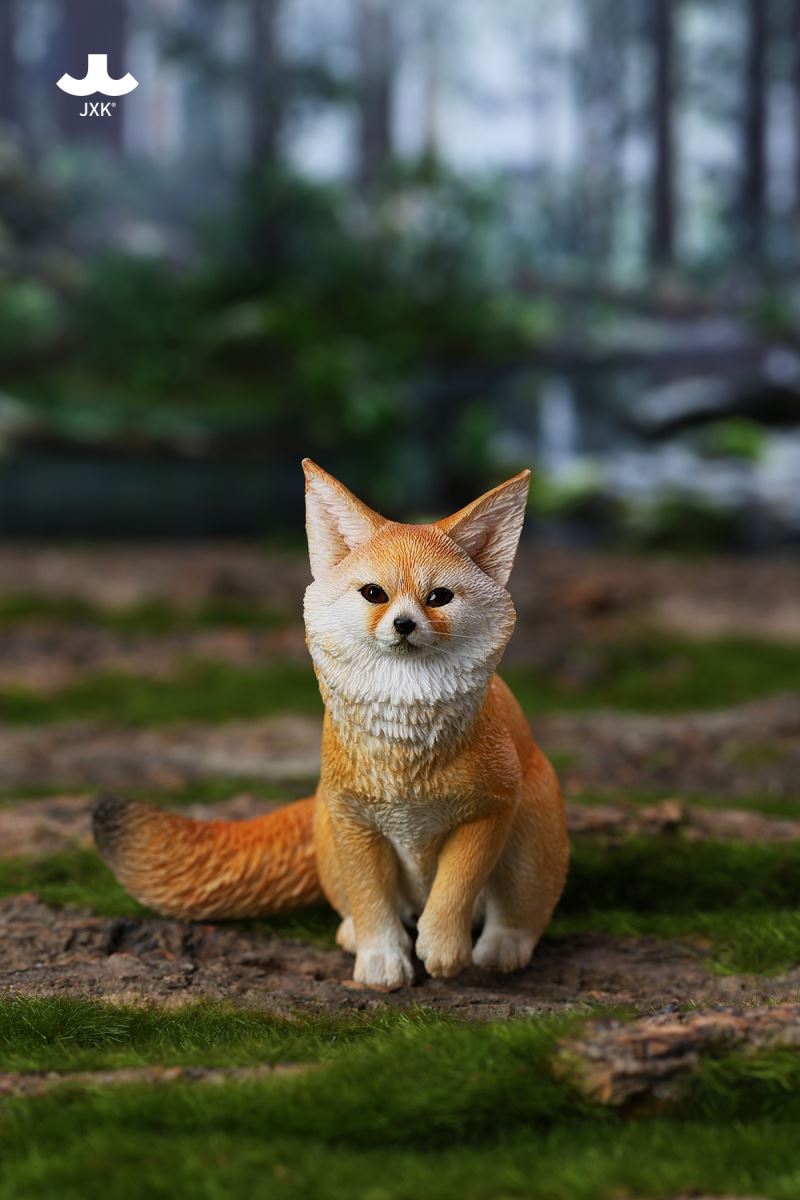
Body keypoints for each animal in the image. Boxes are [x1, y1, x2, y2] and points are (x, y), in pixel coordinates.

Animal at [93, 460, 568, 990]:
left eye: (439, 597)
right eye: (374, 593)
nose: (404, 624)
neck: (405, 759)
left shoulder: (492, 807)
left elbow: (456, 886)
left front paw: (444, 947)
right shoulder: (351, 816)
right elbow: (369, 898)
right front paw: (381, 960)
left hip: (532, 830)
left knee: (519, 915)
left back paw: (501, 948)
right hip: (327, 831)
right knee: (363, 904)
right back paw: (354, 935)